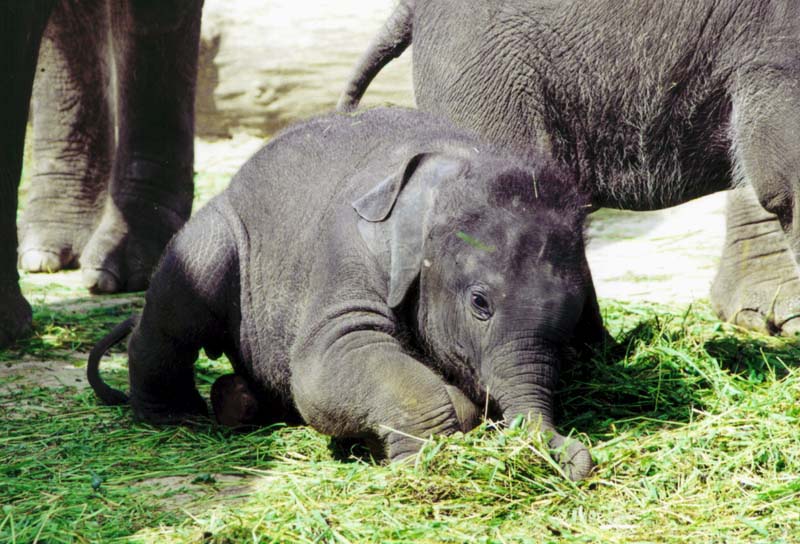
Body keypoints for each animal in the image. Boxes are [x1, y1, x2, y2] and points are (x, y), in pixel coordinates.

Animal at [87, 107, 604, 480]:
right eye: (480, 303)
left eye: (574, 315)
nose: (574, 461)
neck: (458, 157)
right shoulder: (348, 249)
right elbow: (330, 359)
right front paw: (423, 458)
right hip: (215, 236)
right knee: (176, 314)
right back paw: (178, 418)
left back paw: (236, 402)